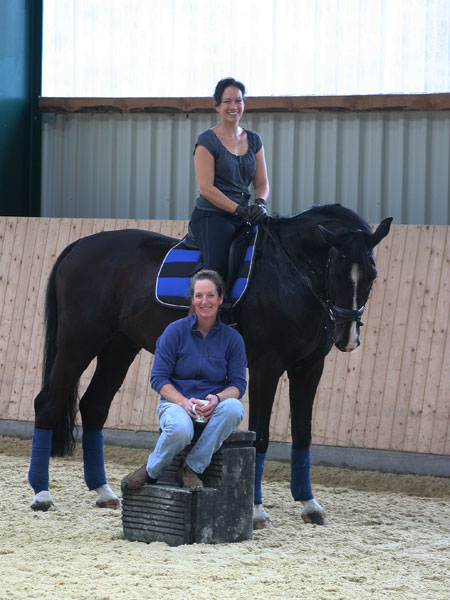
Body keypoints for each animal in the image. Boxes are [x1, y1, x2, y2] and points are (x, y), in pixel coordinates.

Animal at [27, 204, 392, 527]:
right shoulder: (266, 366)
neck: (290, 272)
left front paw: (310, 505)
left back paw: (102, 491)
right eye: (336, 271)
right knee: (48, 402)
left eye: (372, 274)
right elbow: (260, 437)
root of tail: (79, 246)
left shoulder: (309, 367)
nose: (347, 337)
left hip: (119, 346)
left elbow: (303, 433)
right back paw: (42, 495)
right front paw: (257, 512)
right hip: (79, 342)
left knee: (94, 406)